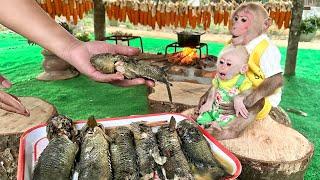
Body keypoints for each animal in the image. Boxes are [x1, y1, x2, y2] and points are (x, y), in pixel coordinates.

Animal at [195, 2, 282, 140]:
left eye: (243, 20)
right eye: (236, 18)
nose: (235, 25)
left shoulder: (269, 51)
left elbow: (276, 78)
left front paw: (240, 103)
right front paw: (204, 99)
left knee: (260, 101)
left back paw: (227, 132)